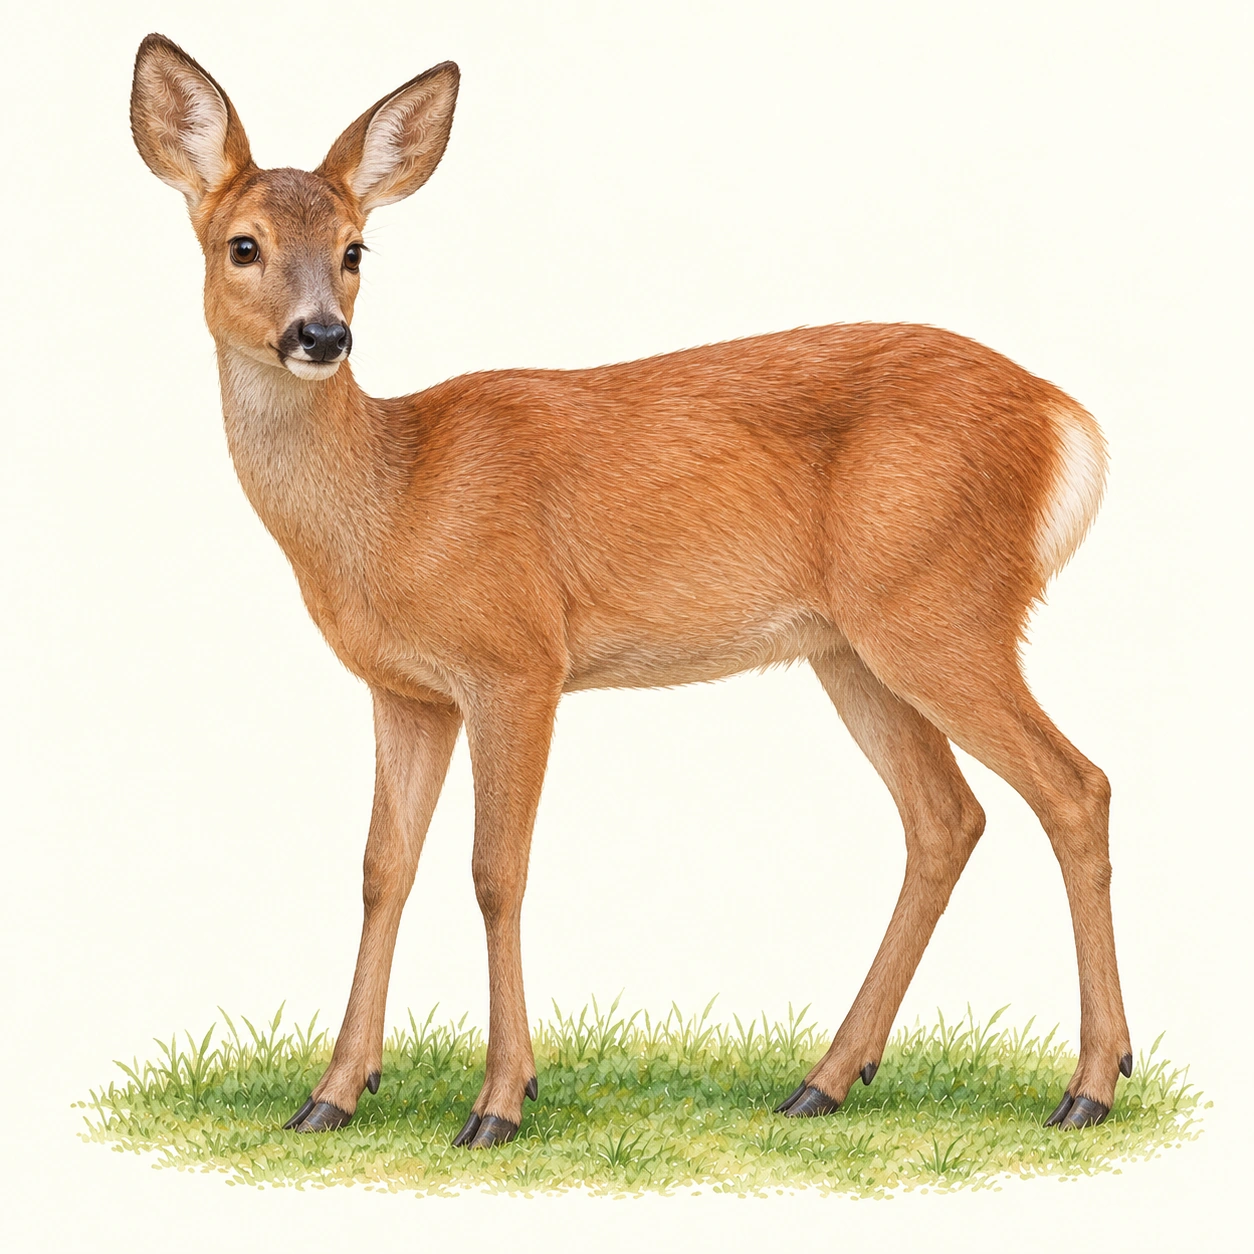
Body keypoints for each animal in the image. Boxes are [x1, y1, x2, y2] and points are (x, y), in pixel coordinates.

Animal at [129, 32, 1132, 1149]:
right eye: (243, 244)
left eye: (356, 251)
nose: (320, 336)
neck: (394, 501)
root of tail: (1067, 423)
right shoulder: (408, 690)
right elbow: (382, 871)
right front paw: (333, 1094)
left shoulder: (518, 659)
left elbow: (496, 871)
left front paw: (500, 1102)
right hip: (853, 645)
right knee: (947, 818)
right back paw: (826, 1079)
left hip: (942, 606)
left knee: (1074, 786)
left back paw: (1089, 1085)